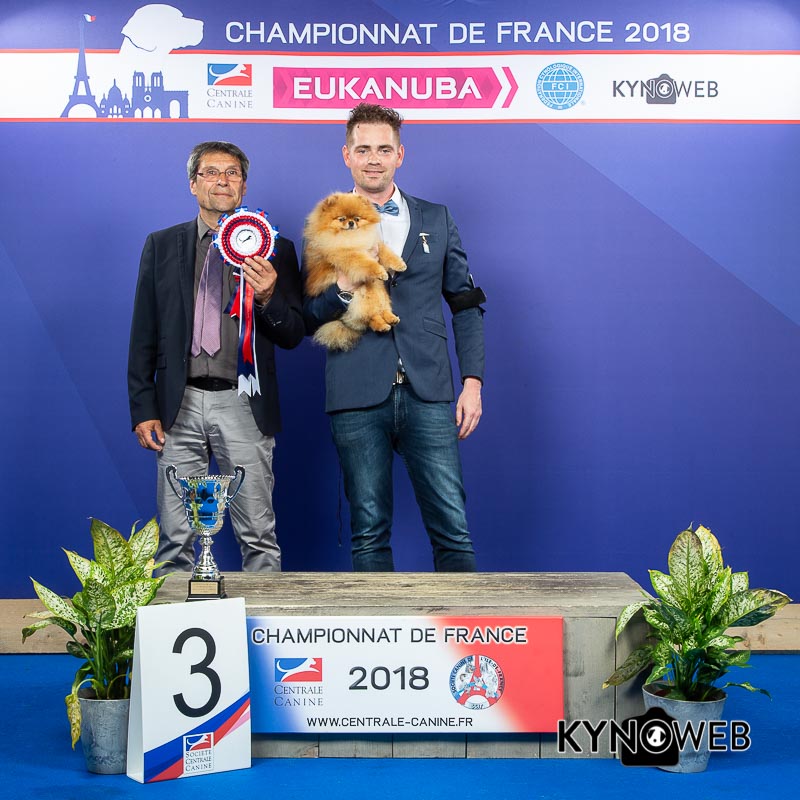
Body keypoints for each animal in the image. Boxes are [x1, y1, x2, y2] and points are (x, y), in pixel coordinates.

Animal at [304, 192, 407, 351]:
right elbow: (366, 262)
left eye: (357, 218)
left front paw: (399, 264)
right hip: (359, 300)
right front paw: (379, 271)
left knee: (381, 309)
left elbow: (386, 253)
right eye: (342, 219)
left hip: (380, 293)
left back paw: (391, 318)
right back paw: (382, 325)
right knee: (371, 317)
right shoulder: (349, 255)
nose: (351, 223)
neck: (353, 238)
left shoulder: (375, 244)